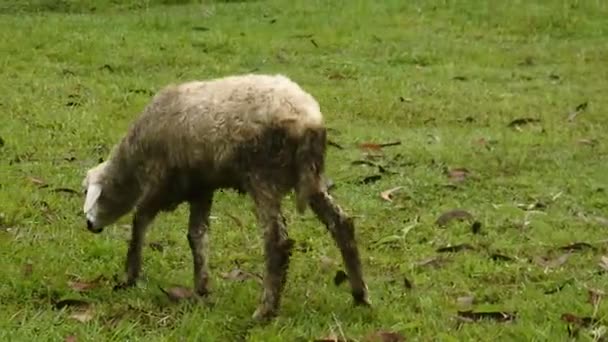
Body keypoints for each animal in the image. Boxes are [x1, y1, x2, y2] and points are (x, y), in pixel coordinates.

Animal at [81, 73, 370, 320]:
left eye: (89, 193)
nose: (89, 225)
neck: (132, 162)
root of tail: (308, 119)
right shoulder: (201, 188)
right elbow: (197, 236)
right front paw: (201, 287)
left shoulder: (159, 183)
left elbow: (139, 222)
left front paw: (129, 276)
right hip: (310, 178)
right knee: (341, 224)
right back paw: (360, 295)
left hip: (263, 176)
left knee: (277, 242)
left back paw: (265, 310)